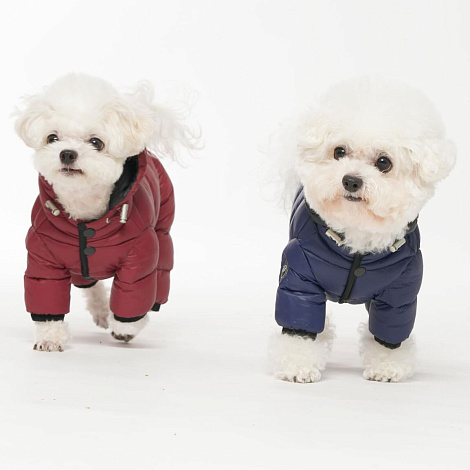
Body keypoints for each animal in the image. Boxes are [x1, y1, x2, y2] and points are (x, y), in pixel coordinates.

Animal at [15, 73, 199, 351]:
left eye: (96, 143)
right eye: (52, 138)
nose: (67, 154)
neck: (85, 213)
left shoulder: (139, 258)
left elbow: (133, 296)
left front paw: (125, 327)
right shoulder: (44, 258)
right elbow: (47, 296)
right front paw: (50, 336)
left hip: (163, 229)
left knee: (161, 272)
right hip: (79, 266)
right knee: (89, 283)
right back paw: (101, 311)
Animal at [270, 77, 456, 382]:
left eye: (384, 162)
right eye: (339, 152)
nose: (351, 181)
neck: (356, 243)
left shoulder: (400, 292)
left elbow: (389, 332)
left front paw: (387, 365)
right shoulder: (298, 277)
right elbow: (300, 325)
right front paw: (298, 363)